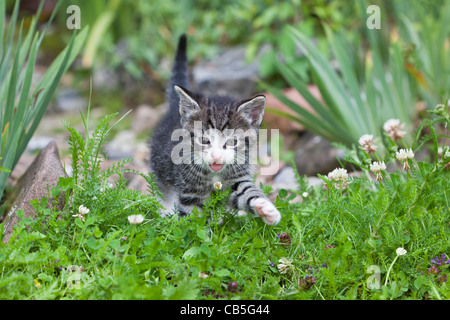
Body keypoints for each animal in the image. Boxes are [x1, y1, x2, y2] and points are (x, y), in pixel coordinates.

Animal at [149, 34, 280, 225]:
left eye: (232, 142)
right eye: (204, 140)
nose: (216, 156)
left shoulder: (237, 177)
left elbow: (245, 191)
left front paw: (265, 208)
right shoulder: (189, 188)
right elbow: (193, 218)